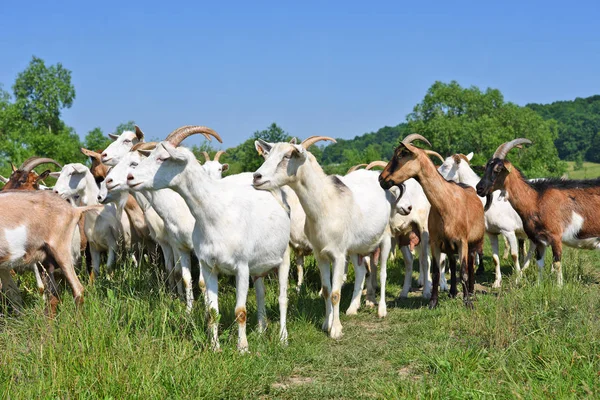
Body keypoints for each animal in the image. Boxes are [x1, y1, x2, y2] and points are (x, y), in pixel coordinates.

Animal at [127, 124, 292, 350]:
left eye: (163, 158)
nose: (130, 178)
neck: (216, 213)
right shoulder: (208, 265)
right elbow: (212, 312)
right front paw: (215, 348)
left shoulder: (241, 267)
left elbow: (240, 311)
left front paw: (243, 348)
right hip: (258, 267)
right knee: (260, 293)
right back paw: (261, 330)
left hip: (284, 257)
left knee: (282, 297)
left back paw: (283, 338)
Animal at [252, 136, 394, 340]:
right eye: (267, 154)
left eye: (287, 156)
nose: (256, 177)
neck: (326, 204)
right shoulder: (321, 254)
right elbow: (326, 290)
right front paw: (327, 323)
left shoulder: (338, 254)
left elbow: (335, 292)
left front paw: (336, 330)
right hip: (355, 247)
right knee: (361, 271)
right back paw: (352, 308)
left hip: (386, 237)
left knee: (382, 272)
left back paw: (381, 310)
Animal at [380, 134, 488, 310]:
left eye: (401, 154)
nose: (381, 179)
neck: (446, 204)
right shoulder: (437, 242)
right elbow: (436, 272)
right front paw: (432, 302)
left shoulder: (462, 241)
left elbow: (464, 271)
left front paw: (468, 303)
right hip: (450, 246)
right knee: (452, 263)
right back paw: (452, 292)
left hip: (475, 241)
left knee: (471, 265)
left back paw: (471, 292)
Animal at [478, 139, 600, 286]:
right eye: (486, 168)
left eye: (497, 169)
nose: (479, 188)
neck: (536, 199)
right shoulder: (539, 239)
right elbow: (539, 263)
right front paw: (538, 285)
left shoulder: (555, 236)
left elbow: (557, 263)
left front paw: (559, 287)